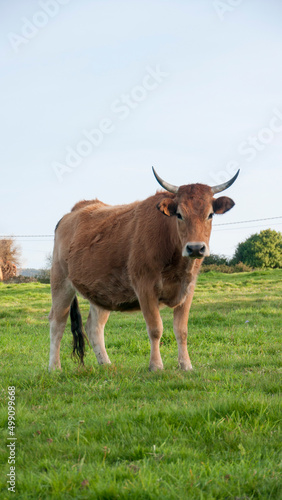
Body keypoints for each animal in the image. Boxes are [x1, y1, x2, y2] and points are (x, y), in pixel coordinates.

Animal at [49, 168, 239, 372]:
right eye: (179, 214)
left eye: (210, 214)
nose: (195, 248)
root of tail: (73, 211)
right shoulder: (145, 287)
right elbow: (155, 328)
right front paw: (156, 365)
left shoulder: (188, 289)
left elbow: (181, 330)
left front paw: (186, 365)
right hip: (61, 281)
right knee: (57, 322)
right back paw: (55, 367)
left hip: (101, 289)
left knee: (94, 326)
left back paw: (106, 364)